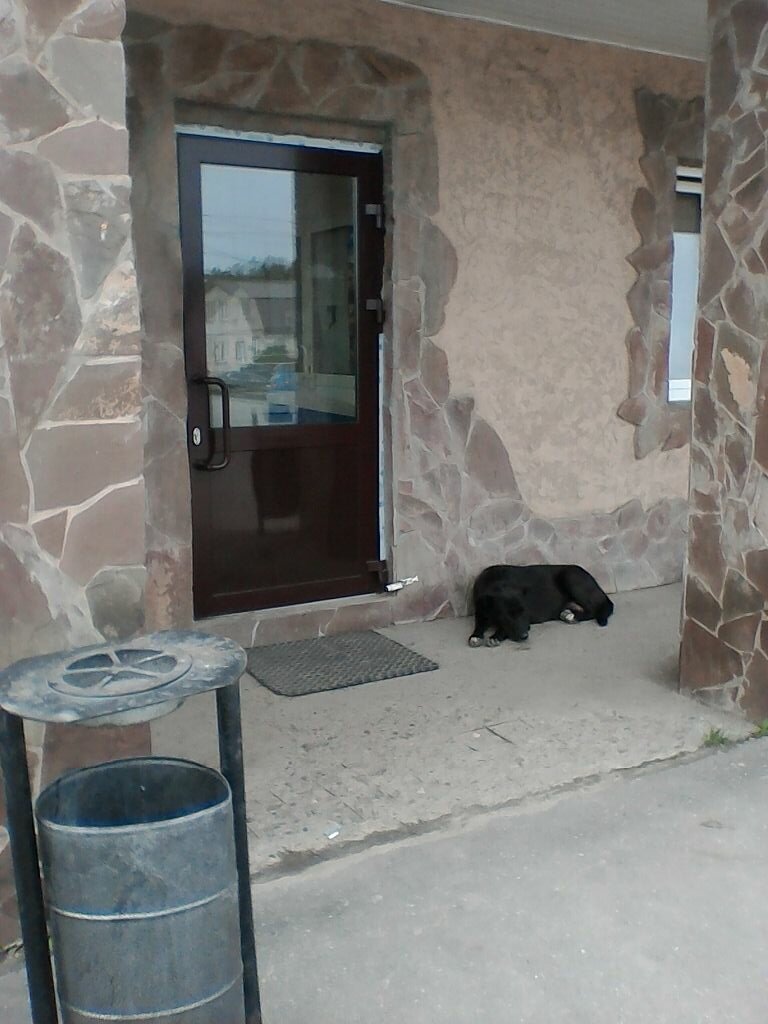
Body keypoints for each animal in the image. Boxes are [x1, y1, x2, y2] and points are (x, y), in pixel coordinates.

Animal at [468, 564, 614, 647]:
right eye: (507, 615)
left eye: (524, 612)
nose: (525, 636)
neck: (497, 582)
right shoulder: (481, 612)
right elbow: (479, 625)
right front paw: (475, 636)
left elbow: (503, 628)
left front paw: (496, 636)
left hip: (570, 577)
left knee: (595, 609)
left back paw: (571, 616)